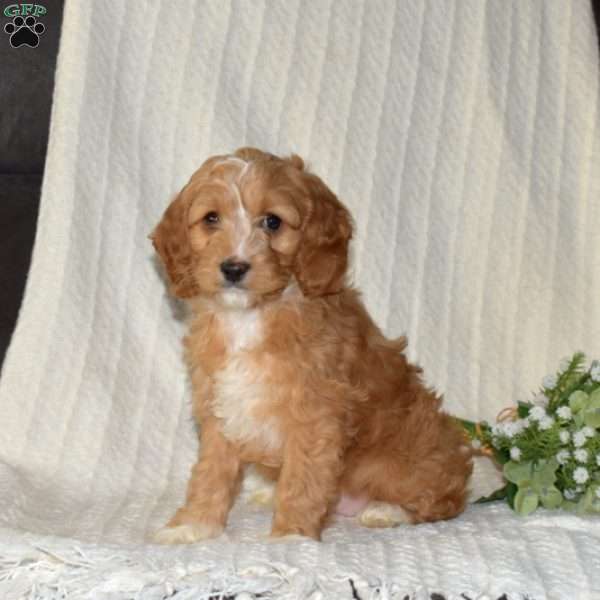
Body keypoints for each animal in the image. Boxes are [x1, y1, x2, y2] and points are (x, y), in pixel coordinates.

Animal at [151, 146, 474, 544]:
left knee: (439, 499)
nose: (234, 267)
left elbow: (303, 479)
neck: (250, 316)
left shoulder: (316, 413)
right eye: (211, 219)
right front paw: (193, 525)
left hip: (407, 460)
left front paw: (291, 539)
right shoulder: (219, 407)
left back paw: (385, 509)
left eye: (272, 222)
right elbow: (211, 473)